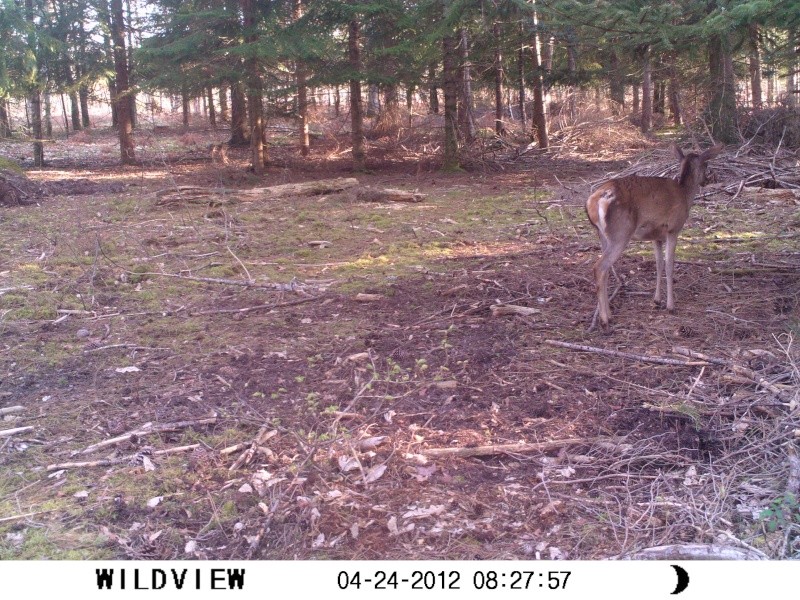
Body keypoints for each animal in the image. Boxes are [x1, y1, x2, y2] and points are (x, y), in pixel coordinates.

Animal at [580, 143, 724, 330]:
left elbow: (659, 265)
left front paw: (657, 300)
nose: (707, 180)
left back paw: (608, 315)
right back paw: (605, 320)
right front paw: (670, 306)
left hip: (602, 235)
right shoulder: (673, 229)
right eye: (706, 165)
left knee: (604, 270)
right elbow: (669, 266)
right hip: (621, 233)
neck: (685, 194)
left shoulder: (656, 237)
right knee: (599, 267)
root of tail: (594, 201)